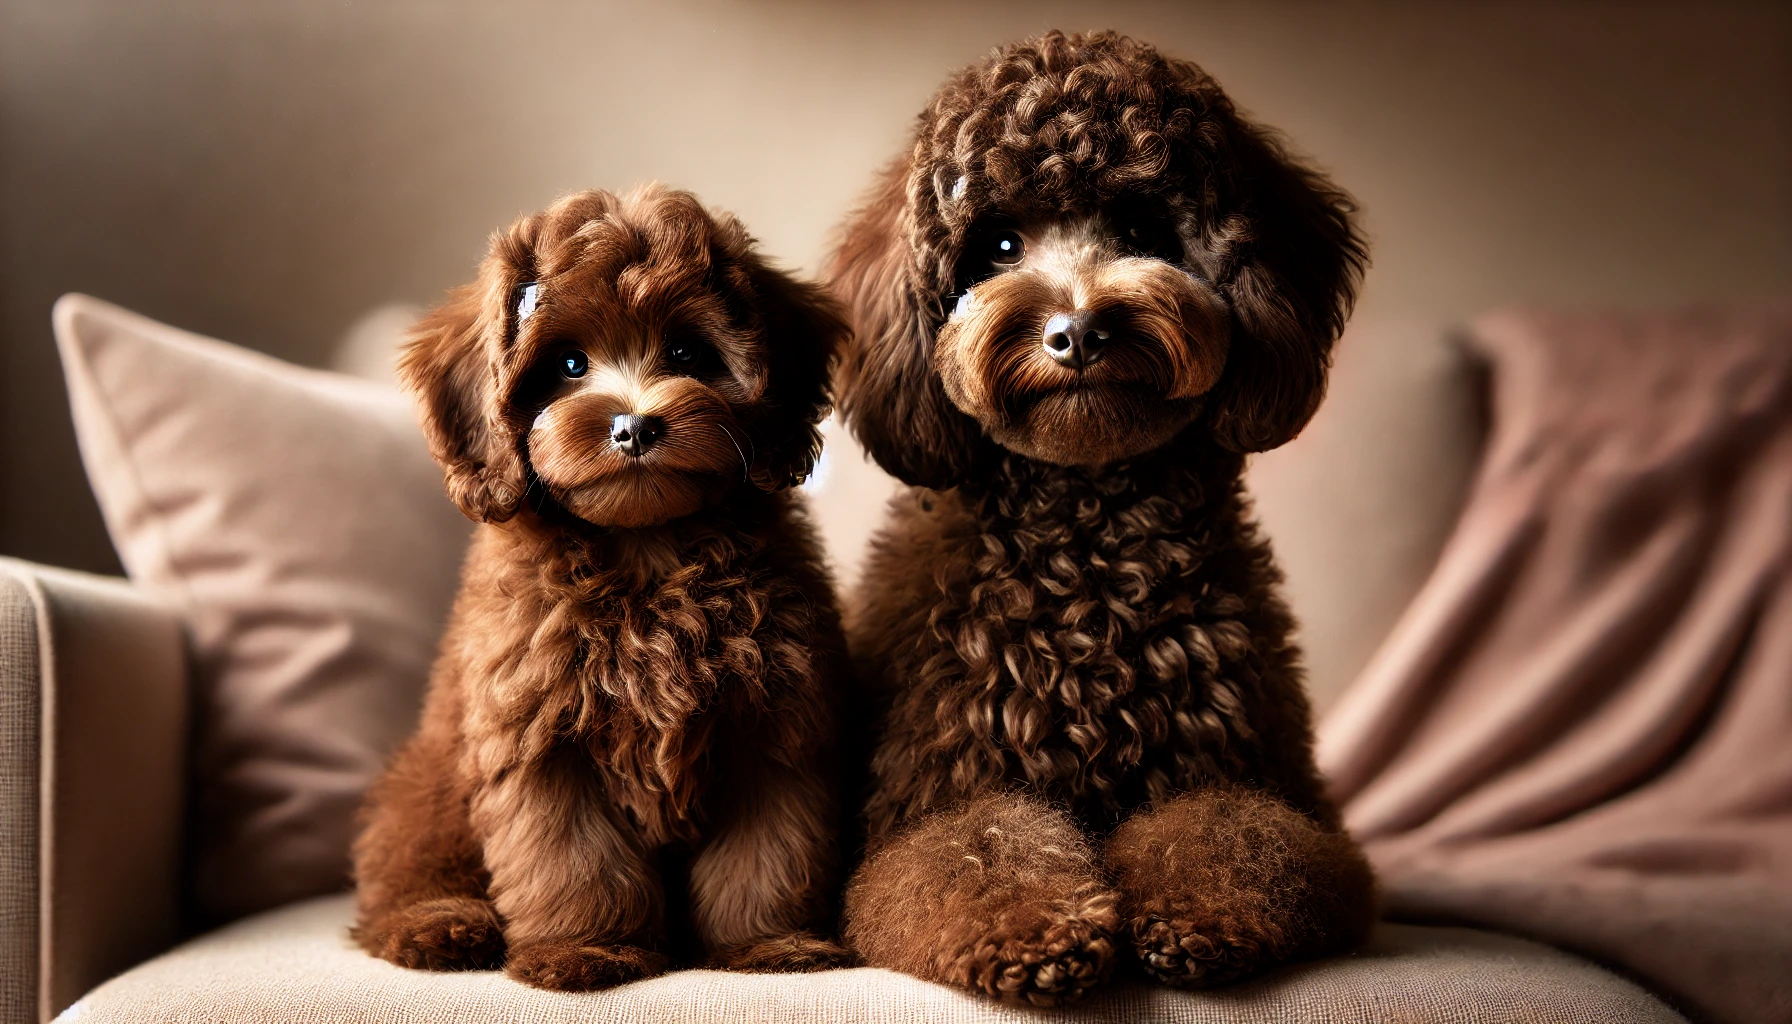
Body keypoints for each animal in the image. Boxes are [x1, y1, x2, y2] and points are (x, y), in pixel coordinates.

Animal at [353, 186, 856, 997]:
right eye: (566, 363)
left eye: (686, 353)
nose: (634, 425)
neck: (645, 549)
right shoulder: (541, 734)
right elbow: (573, 859)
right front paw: (584, 953)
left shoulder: (775, 723)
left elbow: (768, 854)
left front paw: (769, 947)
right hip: (426, 790)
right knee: (402, 875)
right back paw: (438, 924)